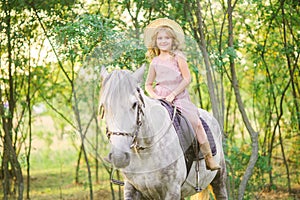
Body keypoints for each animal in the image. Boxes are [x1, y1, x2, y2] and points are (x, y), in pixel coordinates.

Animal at [99, 66, 227, 199]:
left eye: (134, 104)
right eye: (104, 106)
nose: (119, 157)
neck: (146, 152)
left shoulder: (172, 190)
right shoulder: (131, 188)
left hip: (219, 180)